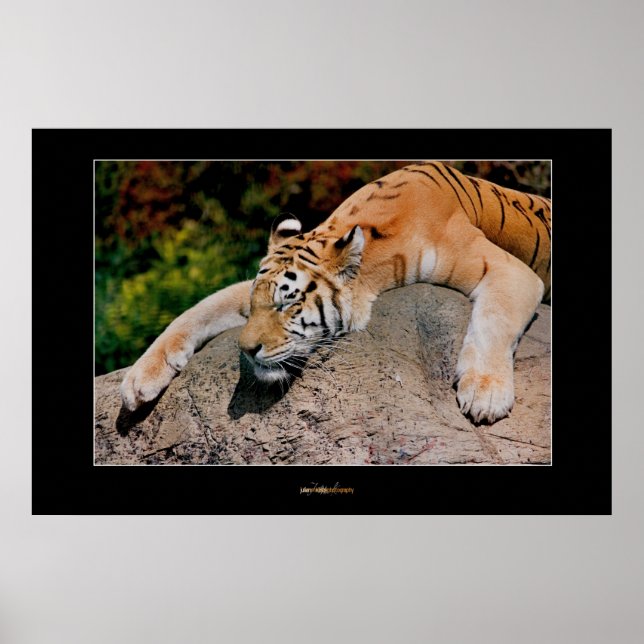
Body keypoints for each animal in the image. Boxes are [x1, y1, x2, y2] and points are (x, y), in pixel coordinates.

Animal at [120, 161, 551, 424]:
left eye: (289, 302)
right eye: (257, 305)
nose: (246, 350)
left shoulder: (511, 271)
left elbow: (494, 319)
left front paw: (484, 395)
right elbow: (197, 310)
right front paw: (137, 382)